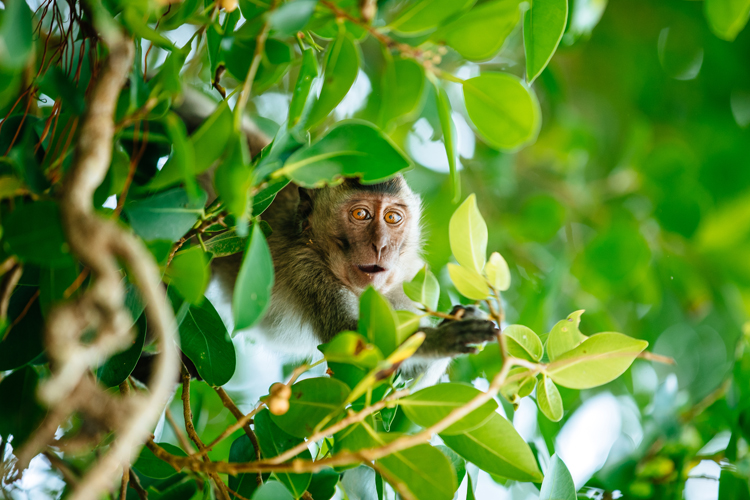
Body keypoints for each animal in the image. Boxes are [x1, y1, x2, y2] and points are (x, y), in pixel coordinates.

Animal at [212, 174, 502, 380]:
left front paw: (464, 318)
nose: (380, 245)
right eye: (361, 214)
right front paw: (445, 337)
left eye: (392, 217)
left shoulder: (406, 281)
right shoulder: (306, 270)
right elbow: (354, 343)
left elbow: (406, 374)